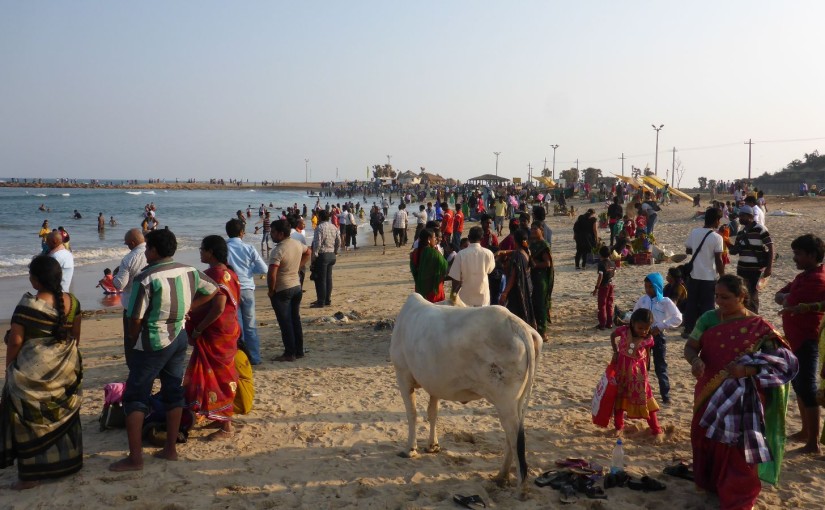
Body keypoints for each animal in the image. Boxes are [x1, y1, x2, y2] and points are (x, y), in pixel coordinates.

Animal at [392, 290, 544, 486]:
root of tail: (517, 324)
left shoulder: (403, 375)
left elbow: (412, 414)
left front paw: (410, 449)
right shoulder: (434, 384)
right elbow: (432, 413)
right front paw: (433, 446)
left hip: (505, 401)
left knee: (513, 435)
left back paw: (512, 479)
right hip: (517, 401)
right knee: (513, 436)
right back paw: (501, 476)